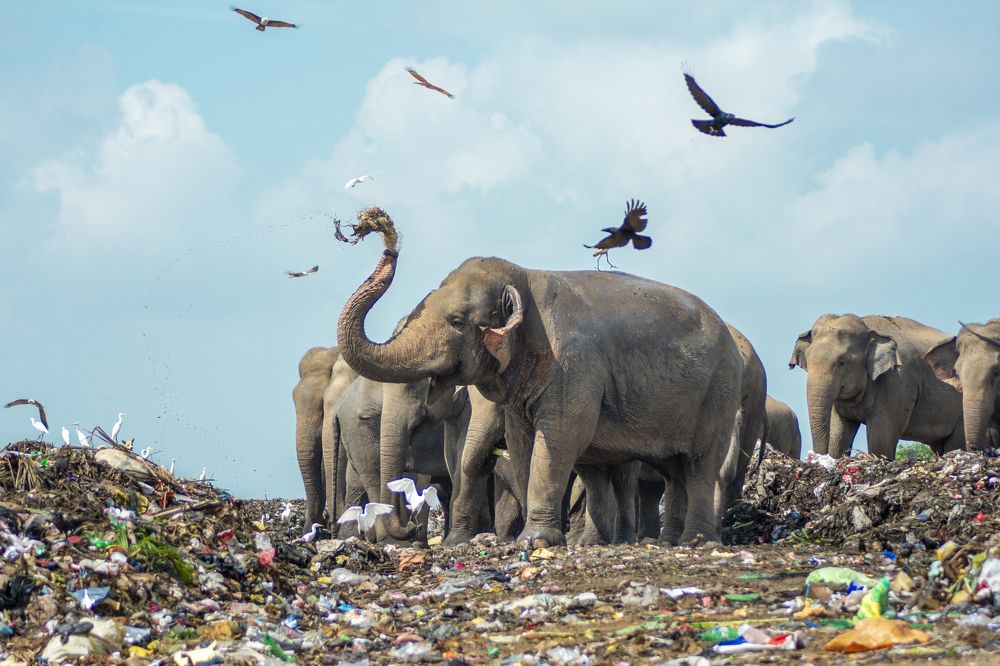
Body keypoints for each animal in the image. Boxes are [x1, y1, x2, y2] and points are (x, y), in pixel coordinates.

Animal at [337, 250, 743, 546]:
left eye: (456, 321)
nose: (387, 242)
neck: (526, 278)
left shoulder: (575, 366)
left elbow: (560, 437)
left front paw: (536, 542)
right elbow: (522, 443)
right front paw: (532, 540)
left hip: (719, 393)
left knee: (700, 464)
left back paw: (695, 542)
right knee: (664, 471)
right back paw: (631, 543)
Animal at [789, 314, 964, 459]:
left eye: (842, 362)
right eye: (808, 360)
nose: (815, 457)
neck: (868, 327)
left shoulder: (897, 382)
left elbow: (881, 439)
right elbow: (838, 434)